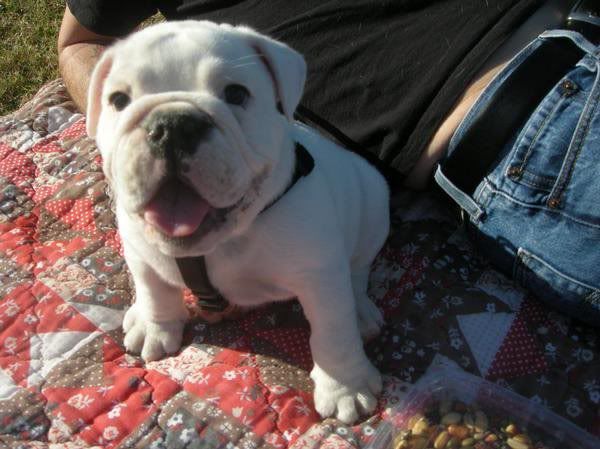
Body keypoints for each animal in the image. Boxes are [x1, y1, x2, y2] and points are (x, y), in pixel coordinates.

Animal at [86, 19, 392, 422]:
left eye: (236, 94)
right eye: (119, 100)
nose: (172, 125)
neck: (223, 240)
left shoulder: (320, 275)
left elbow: (332, 330)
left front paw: (346, 387)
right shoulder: (139, 249)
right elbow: (153, 288)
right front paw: (156, 325)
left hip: (372, 204)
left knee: (358, 269)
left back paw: (362, 313)